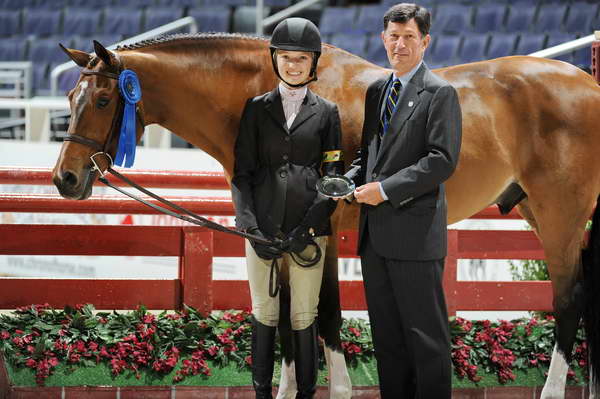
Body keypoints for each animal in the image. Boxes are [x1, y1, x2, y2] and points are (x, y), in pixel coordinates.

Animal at [51, 32, 600, 398]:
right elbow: (289, 318)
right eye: (70, 97)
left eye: (105, 98)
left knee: (569, 301)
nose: (65, 179)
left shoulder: (321, 234)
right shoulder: (277, 237)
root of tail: (588, 85)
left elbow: (327, 315)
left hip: (559, 216)